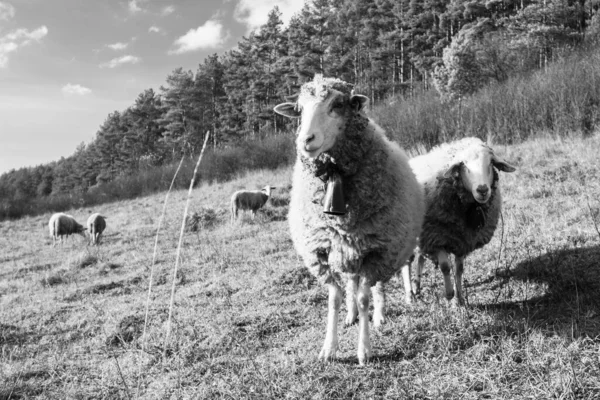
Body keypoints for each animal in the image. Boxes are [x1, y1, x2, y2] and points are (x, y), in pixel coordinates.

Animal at [274, 75, 424, 366]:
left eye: (338, 104)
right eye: (299, 109)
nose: (306, 140)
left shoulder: (376, 251)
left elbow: (366, 297)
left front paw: (364, 350)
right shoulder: (322, 251)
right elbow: (334, 299)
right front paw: (328, 348)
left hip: (383, 247)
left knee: (376, 287)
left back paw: (378, 316)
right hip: (347, 249)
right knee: (351, 282)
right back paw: (351, 315)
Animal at [410, 136, 516, 304]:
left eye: (490, 163)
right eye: (463, 165)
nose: (482, 189)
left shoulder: (461, 241)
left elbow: (459, 269)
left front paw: (459, 299)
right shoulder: (436, 237)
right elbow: (445, 267)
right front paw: (449, 294)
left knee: (420, 258)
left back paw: (418, 286)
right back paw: (409, 295)